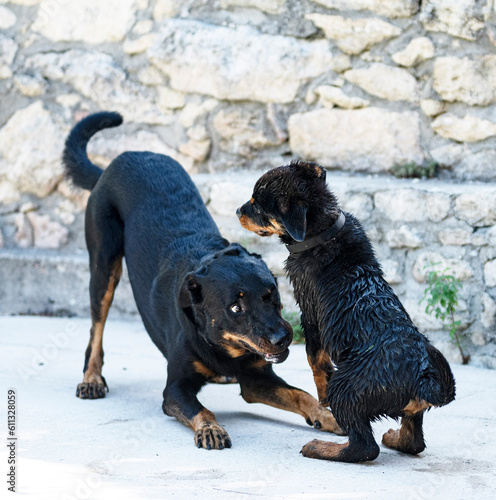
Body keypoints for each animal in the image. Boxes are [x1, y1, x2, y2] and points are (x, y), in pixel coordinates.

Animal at [62, 113, 342, 450]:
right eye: (235, 308)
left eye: (272, 295)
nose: (283, 338)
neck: (224, 349)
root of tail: (115, 164)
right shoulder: (175, 389)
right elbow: (202, 409)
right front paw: (211, 429)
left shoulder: (257, 379)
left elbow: (300, 394)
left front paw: (327, 415)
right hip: (104, 265)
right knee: (97, 327)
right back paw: (91, 378)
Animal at [238, 162, 456, 462]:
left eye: (257, 205)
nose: (238, 211)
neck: (323, 232)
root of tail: (423, 383)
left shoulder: (310, 313)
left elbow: (314, 357)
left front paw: (321, 395)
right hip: (404, 407)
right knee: (414, 440)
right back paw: (394, 438)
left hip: (347, 388)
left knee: (364, 447)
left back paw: (321, 447)